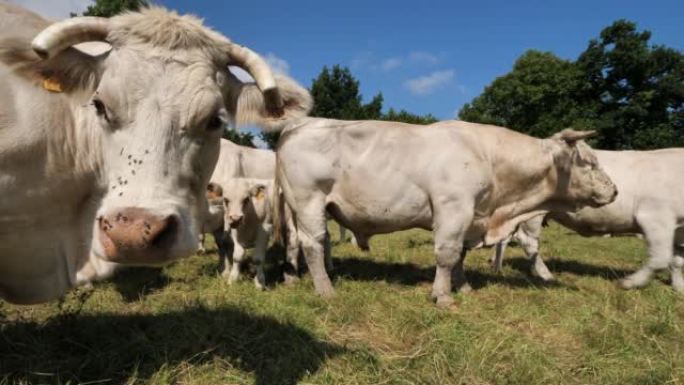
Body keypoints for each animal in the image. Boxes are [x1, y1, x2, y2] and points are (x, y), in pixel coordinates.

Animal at [274, 118, 620, 304]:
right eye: (589, 162)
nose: (615, 191)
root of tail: (300, 124)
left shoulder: (471, 216)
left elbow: (460, 256)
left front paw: (464, 287)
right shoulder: (454, 209)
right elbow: (447, 254)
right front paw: (443, 296)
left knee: (295, 243)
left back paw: (293, 279)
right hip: (309, 202)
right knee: (313, 244)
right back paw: (325, 290)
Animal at [492, 148, 684, 292]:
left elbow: (677, 261)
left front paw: (679, 287)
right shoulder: (655, 217)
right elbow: (660, 259)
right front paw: (629, 282)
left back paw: (499, 268)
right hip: (533, 214)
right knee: (528, 242)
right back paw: (545, 275)